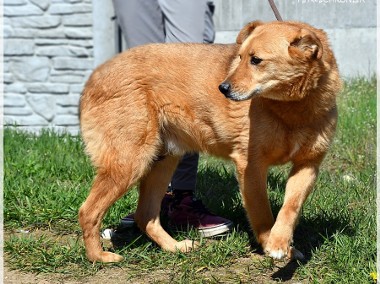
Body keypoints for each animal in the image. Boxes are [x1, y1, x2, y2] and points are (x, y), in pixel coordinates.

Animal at [78, 21, 340, 262]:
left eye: (256, 60)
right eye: (240, 57)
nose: (222, 88)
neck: (294, 108)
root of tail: (93, 76)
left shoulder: (307, 166)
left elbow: (290, 208)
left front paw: (282, 242)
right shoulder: (251, 166)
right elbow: (263, 215)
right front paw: (270, 245)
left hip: (163, 161)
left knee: (146, 216)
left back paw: (174, 247)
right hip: (130, 163)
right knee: (88, 211)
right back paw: (98, 257)